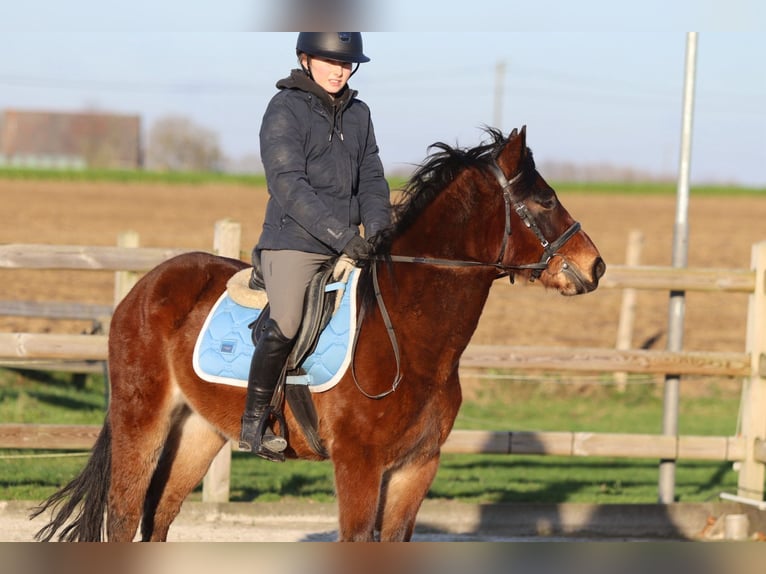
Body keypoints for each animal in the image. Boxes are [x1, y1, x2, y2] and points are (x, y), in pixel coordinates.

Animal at [32, 126, 605, 542]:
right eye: (546, 200)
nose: (595, 266)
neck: (409, 336)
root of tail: (146, 285)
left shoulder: (417, 467)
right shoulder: (359, 466)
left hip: (198, 432)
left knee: (158, 520)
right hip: (142, 423)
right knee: (125, 519)